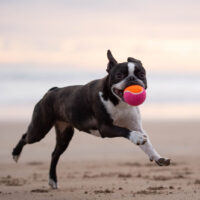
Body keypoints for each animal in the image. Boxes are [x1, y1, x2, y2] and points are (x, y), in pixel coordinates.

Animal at [11, 50, 170, 189]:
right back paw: (16, 154)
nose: (132, 78)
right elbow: (125, 131)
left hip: (64, 134)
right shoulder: (105, 128)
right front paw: (137, 138)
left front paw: (157, 157)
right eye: (119, 75)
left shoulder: (136, 125)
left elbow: (147, 145)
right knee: (25, 137)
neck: (118, 102)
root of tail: (52, 90)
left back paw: (52, 180)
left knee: (55, 154)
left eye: (141, 74)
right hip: (40, 128)